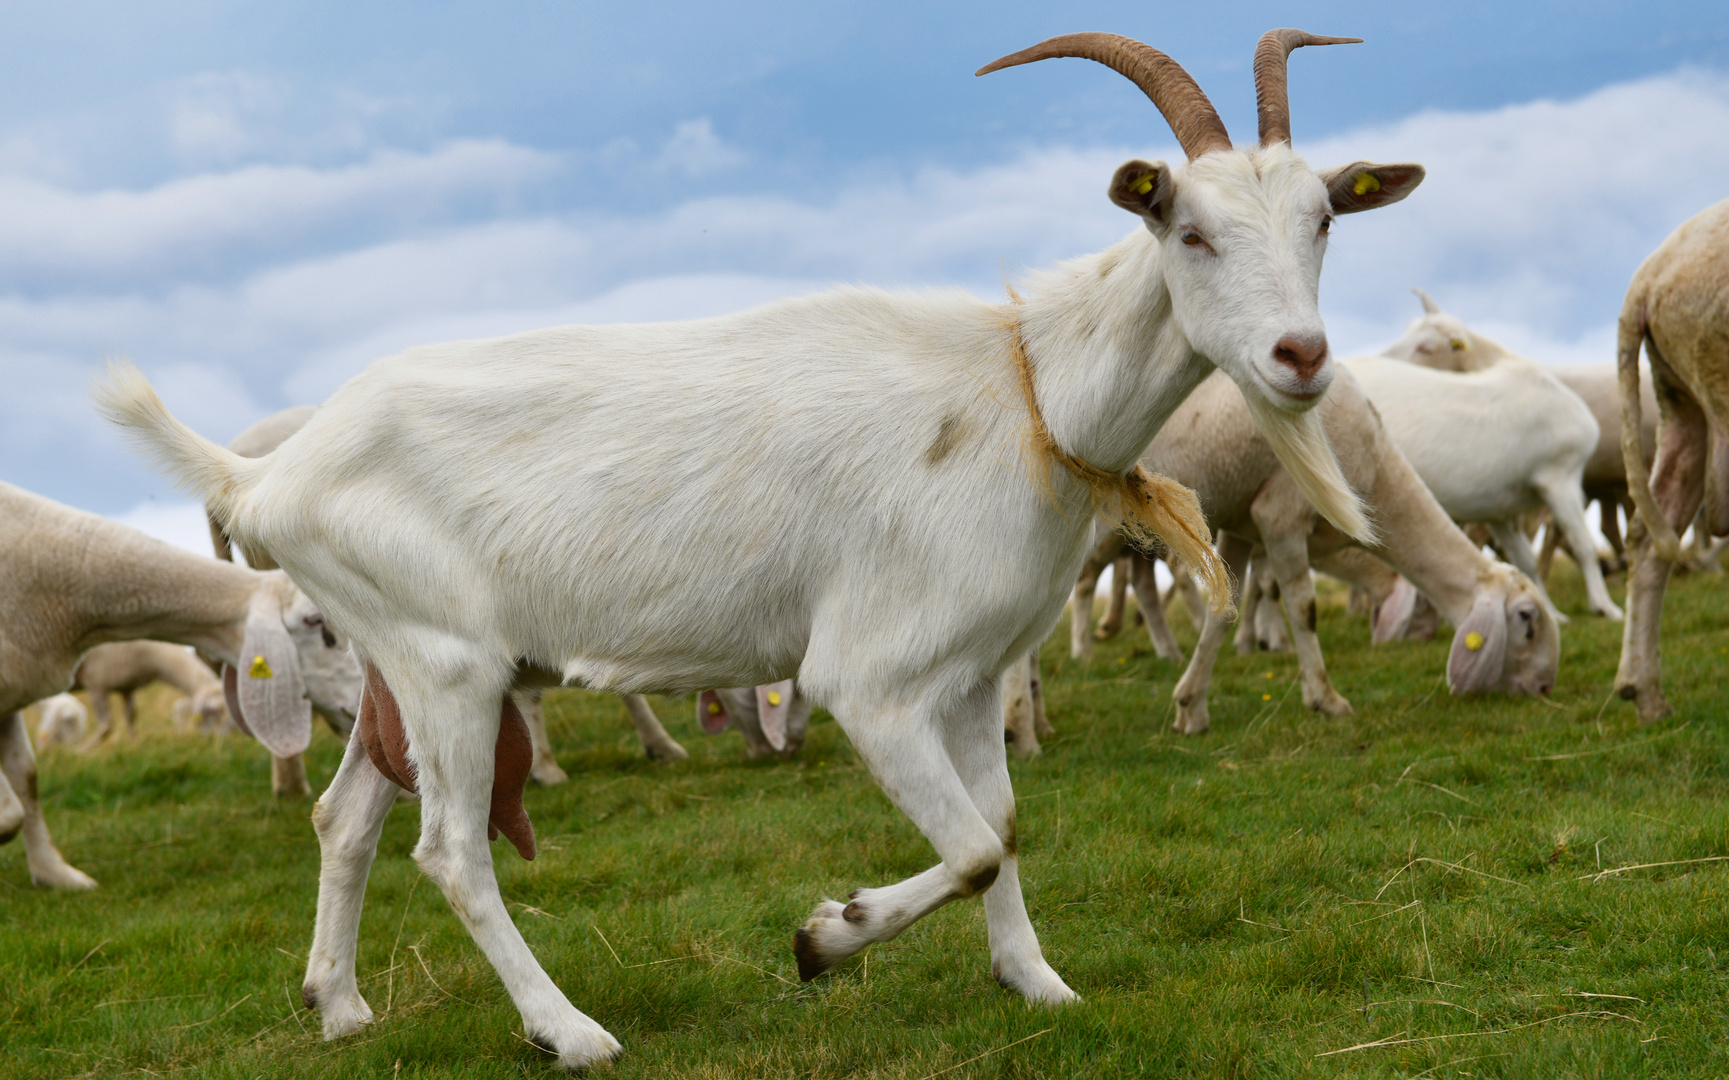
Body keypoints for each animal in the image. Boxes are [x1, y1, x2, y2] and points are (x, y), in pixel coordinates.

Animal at [0, 480, 364, 884]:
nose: (364, 703)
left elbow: (27, 779)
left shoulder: (13, 694)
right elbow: (10, 812)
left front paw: (53, 874)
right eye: (315, 621)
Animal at [101, 29, 1417, 1064]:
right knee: (452, 851)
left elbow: (1000, 829)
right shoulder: (873, 680)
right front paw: (825, 937)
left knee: (347, 821)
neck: (1027, 392)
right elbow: (969, 847)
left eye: (1320, 222)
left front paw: (1036, 984)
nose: (1301, 356)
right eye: (1184, 227)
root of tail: (268, 475)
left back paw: (337, 1005)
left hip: (392, 662)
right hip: (448, 664)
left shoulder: (972, 676)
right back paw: (569, 1031)